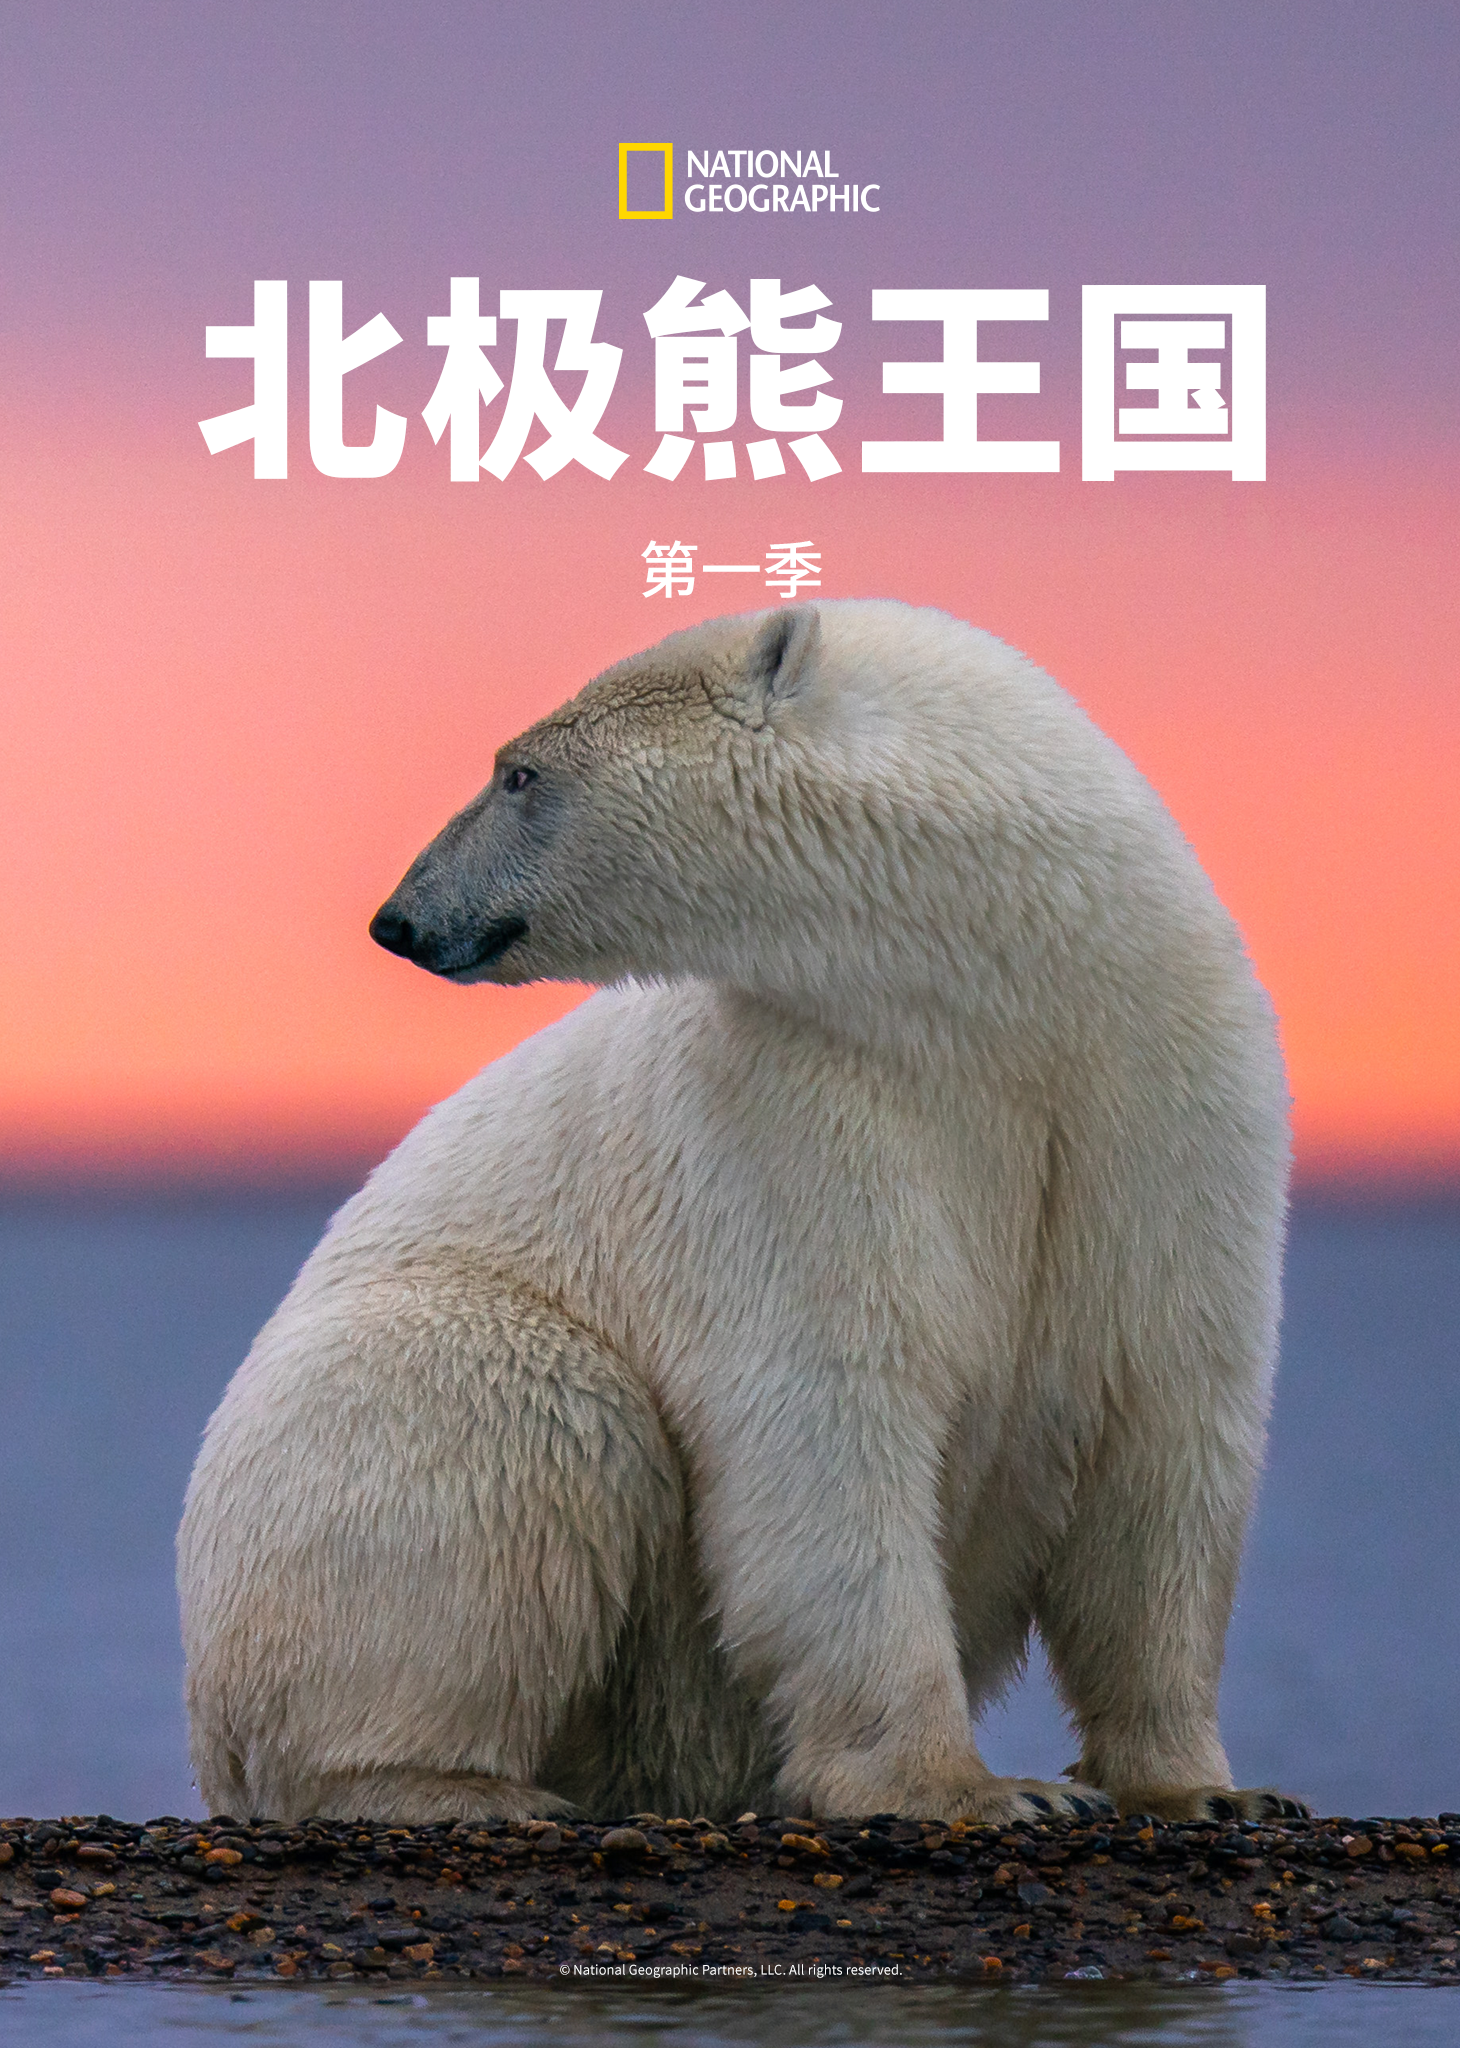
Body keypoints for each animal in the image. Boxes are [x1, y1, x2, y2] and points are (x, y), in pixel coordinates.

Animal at [178, 600, 1308, 1829]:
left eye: (519, 773)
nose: (400, 916)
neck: (1006, 1001)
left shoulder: (1162, 1102)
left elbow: (1165, 1436)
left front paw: (1204, 1787)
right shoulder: (792, 1111)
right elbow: (828, 1419)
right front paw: (969, 1787)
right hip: (378, 1406)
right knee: (517, 1408)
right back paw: (453, 1784)